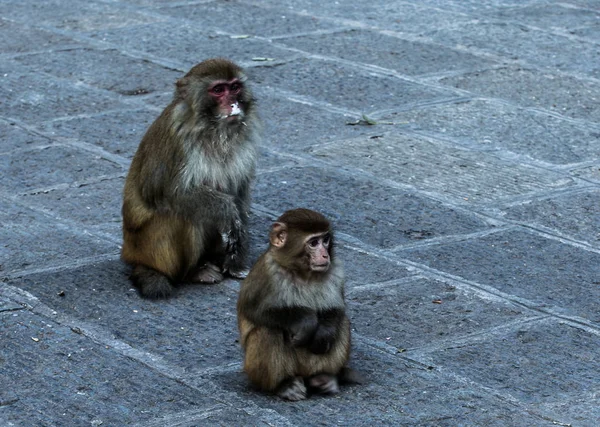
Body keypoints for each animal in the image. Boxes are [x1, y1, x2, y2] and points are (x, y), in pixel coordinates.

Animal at [122, 58, 260, 300]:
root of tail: (130, 253)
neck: (212, 131)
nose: (233, 104)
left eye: (235, 87)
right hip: (149, 249)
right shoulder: (175, 142)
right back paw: (192, 272)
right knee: (184, 214)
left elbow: (239, 197)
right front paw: (226, 209)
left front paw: (237, 258)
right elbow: (164, 193)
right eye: (218, 90)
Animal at [238, 209, 360, 402]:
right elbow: (254, 310)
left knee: (342, 324)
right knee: (268, 331)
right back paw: (283, 385)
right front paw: (306, 321)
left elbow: (337, 310)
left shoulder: (337, 272)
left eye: (326, 240)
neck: (303, 274)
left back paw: (324, 378)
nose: (325, 255)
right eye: (313, 243)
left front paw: (323, 332)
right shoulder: (265, 273)